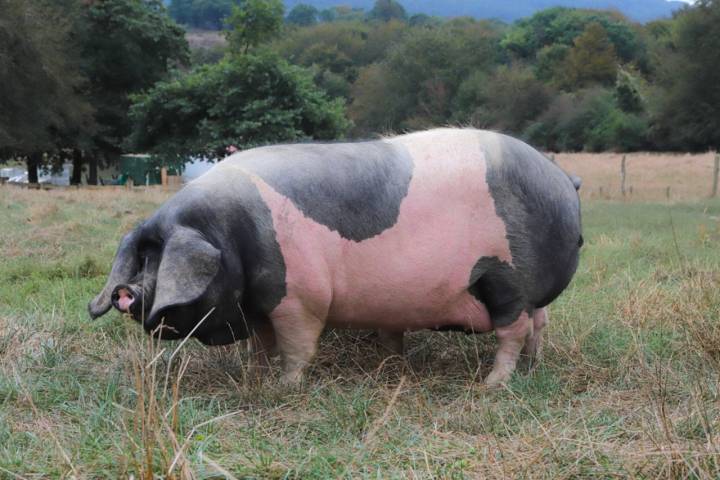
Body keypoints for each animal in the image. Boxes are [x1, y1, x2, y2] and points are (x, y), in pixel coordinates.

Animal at [91, 127, 584, 386]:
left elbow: (298, 345)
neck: (230, 232)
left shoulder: (299, 296)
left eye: (159, 260)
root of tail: (563, 179)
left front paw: (285, 387)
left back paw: (492, 384)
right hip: (527, 292)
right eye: (142, 257)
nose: (124, 293)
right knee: (539, 324)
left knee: (513, 330)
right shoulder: (262, 302)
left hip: (505, 276)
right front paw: (256, 376)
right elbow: (262, 344)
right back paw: (529, 368)